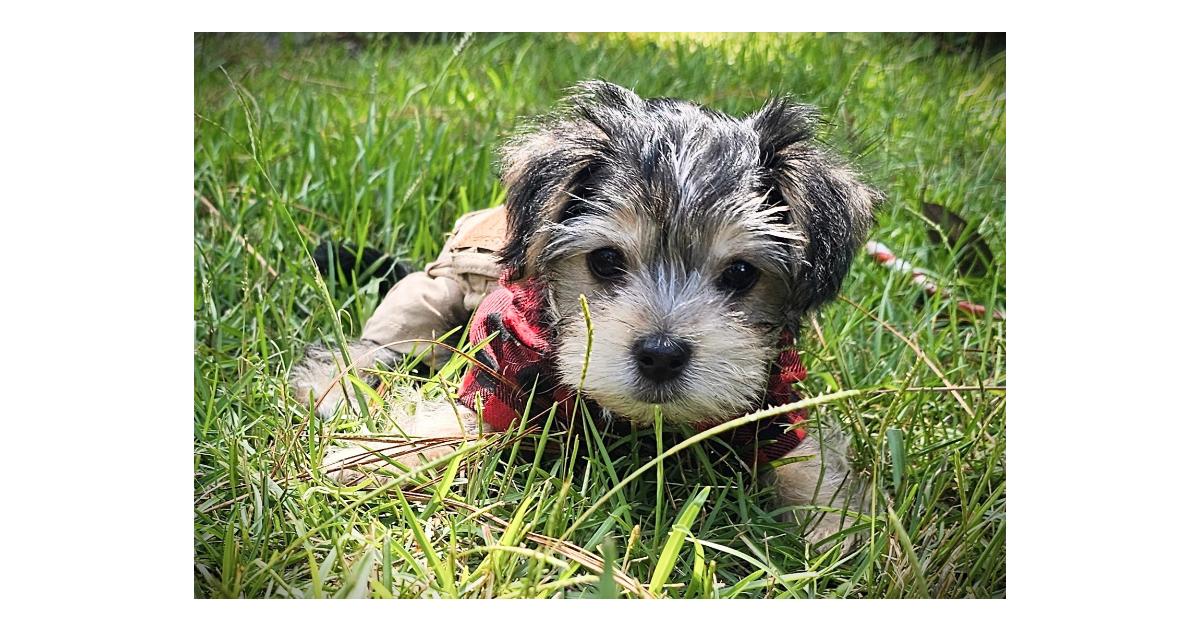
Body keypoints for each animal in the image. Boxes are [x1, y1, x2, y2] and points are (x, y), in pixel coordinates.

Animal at [291, 81, 882, 547]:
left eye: (740, 274)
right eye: (604, 261)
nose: (660, 354)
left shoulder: (776, 403)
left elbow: (808, 465)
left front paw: (841, 530)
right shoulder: (502, 368)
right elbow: (449, 424)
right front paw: (369, 461)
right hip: (431, 297)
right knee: (377, 350)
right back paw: (330, 388)